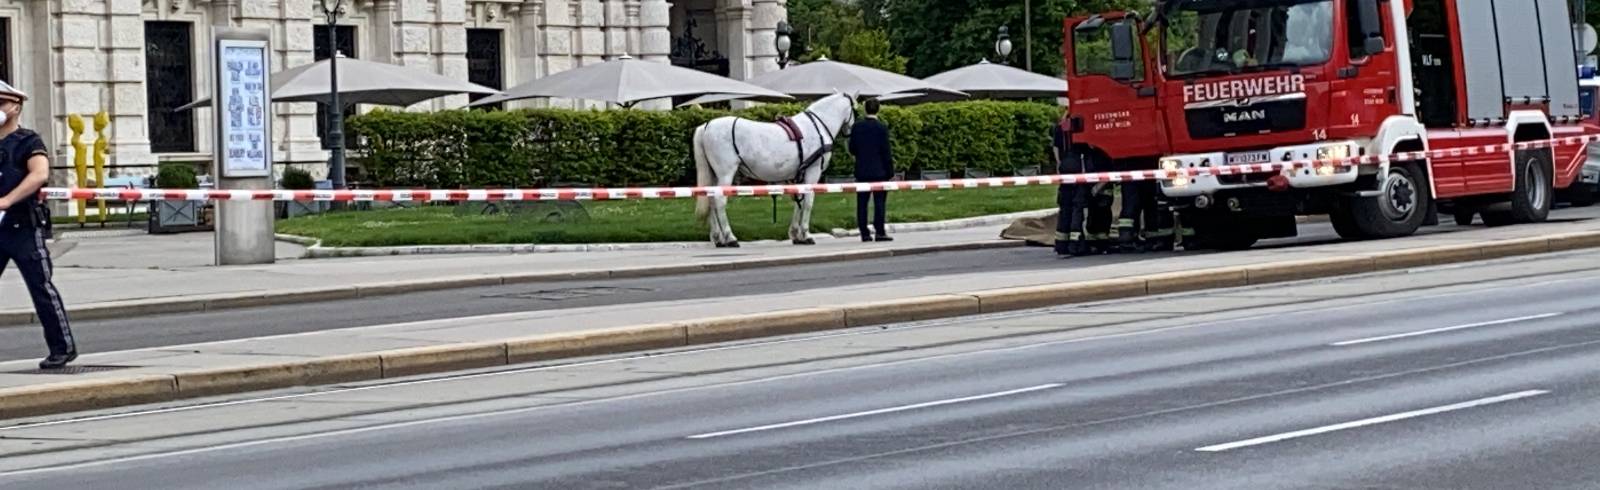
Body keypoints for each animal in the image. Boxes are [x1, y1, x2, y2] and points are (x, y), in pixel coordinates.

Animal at [694, 92, 857, 246]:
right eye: (855, 110)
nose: (851, 142)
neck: (817, 127)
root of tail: (706, 126)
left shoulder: (801, 174)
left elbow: (799, 202)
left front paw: (795, 234)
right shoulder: (813, 171)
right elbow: (808, 202)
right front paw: (805, 234)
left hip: (714, 174)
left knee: (711, 200)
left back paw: (718, 238)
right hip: (726, 174)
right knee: (719, 200)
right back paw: (729, 237)